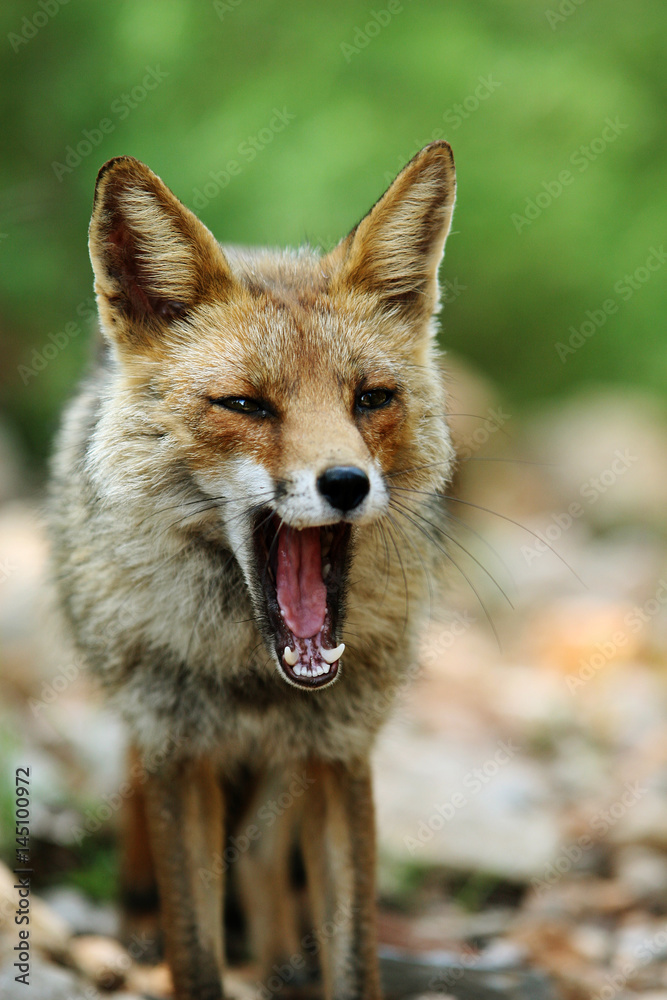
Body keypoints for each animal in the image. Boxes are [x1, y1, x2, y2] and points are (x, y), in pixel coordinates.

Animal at [47, 141, 457, 1000]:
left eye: (371, 399)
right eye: (246, 405)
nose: (346, 483)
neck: (253, 679)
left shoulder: (339, 755)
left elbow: (352, 955)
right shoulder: (175, 752)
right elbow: (196, 951)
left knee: (268, 872)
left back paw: (281, 962)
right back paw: (138, 926)